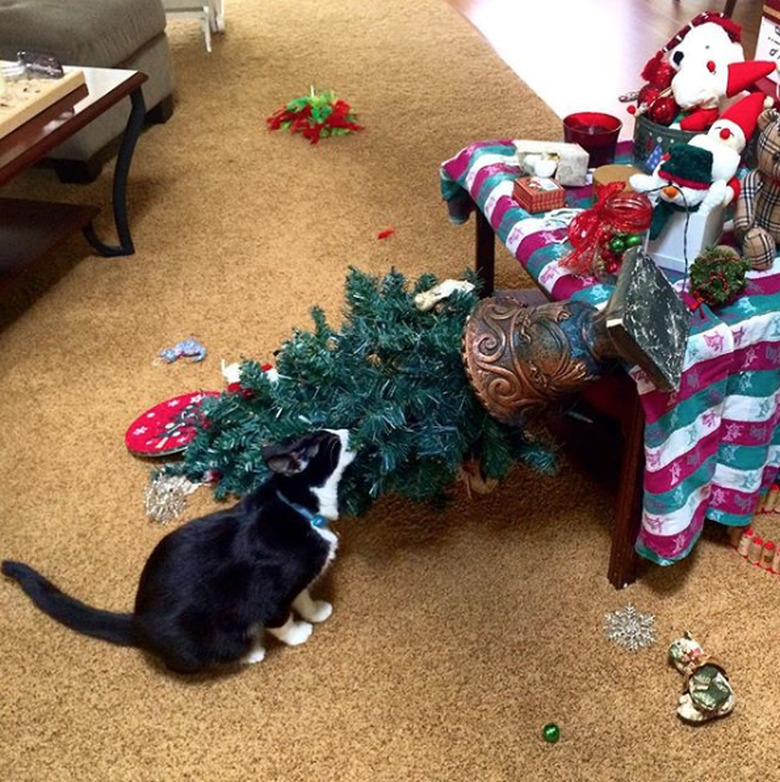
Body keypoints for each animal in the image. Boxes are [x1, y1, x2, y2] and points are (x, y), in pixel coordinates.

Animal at [1, 428, 354, 672]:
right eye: (332, 443)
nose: (348, 430)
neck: (300, 508)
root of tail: (138, 623)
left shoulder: (299, 576)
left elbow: (302, 594)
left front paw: (316, 611)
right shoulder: (269, 593)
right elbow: (280, 618)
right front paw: (298, 634)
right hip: (209, 637)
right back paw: (251, 651)